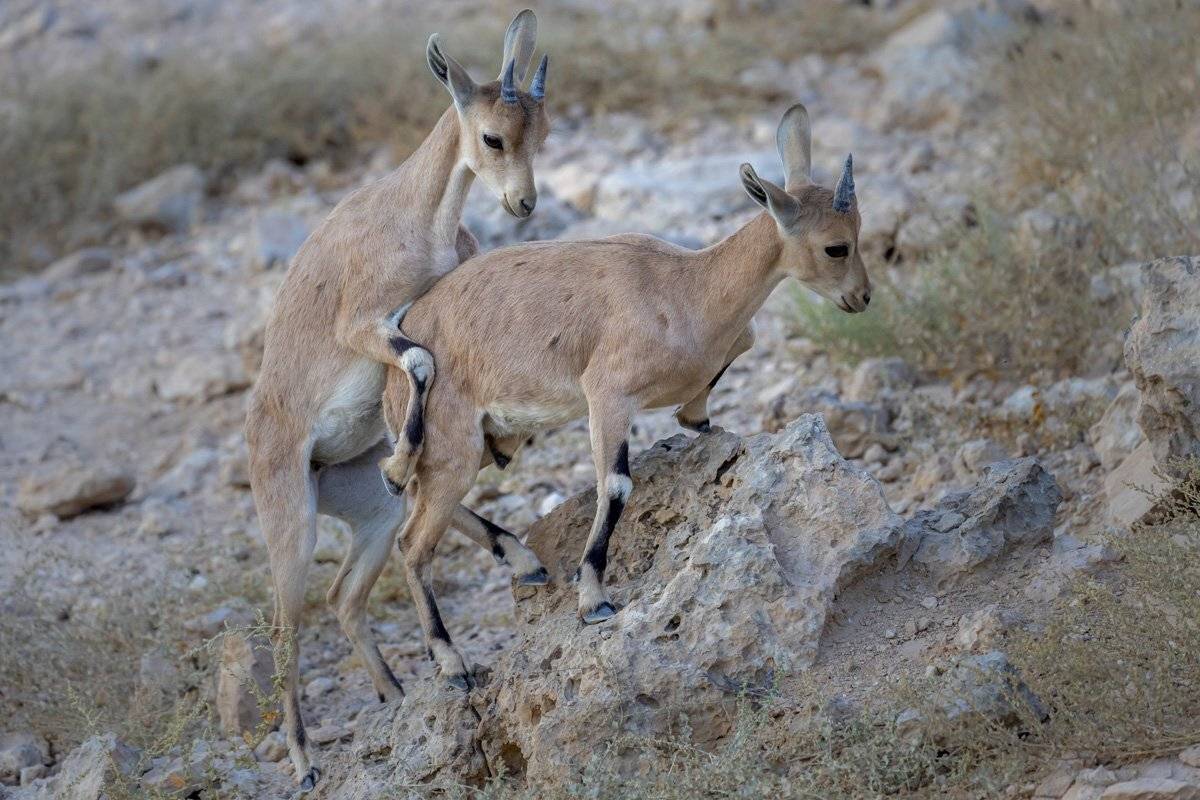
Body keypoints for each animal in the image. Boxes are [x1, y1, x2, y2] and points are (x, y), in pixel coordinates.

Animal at [244, 10, 552, 791]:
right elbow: (418, 360)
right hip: (291, 524)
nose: (524, 203)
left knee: (348, 592)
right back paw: (304, 762)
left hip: (366, 518)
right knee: (289, 625)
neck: (417, 216)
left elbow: (432, 366)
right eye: (492, 137)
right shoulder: (364, 325)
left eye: (541, 133)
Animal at [373, 103, 871, 688]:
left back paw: (524, 560)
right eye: (836, 246)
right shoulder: (607, 395)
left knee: (421, 501)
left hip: (480, 445)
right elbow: (615, 486)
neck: (688, 289)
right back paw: (453, 662)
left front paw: (701, 423)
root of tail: (391, 369)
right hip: (452, 442)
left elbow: (701, 404)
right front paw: (594, 601)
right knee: (413, 542)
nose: (862, 297)